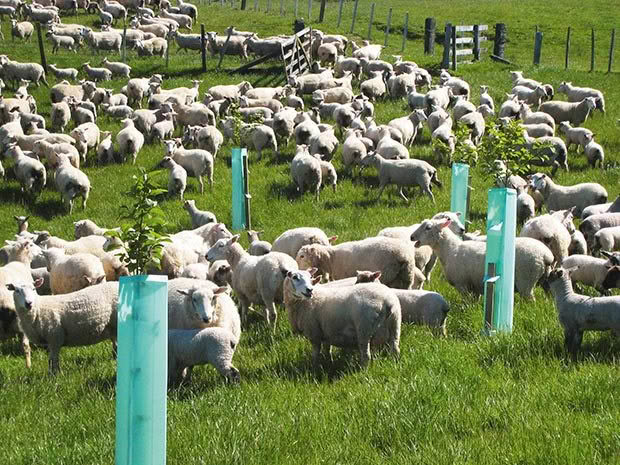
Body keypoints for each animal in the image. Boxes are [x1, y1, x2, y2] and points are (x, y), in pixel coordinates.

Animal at [412, 217, 552, 298]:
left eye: (428, 227)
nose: (411, 237)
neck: (450, 249)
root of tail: (546, 255)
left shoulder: (462, 285)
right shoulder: (474, 287)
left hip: (526, 280)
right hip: (545, 280)